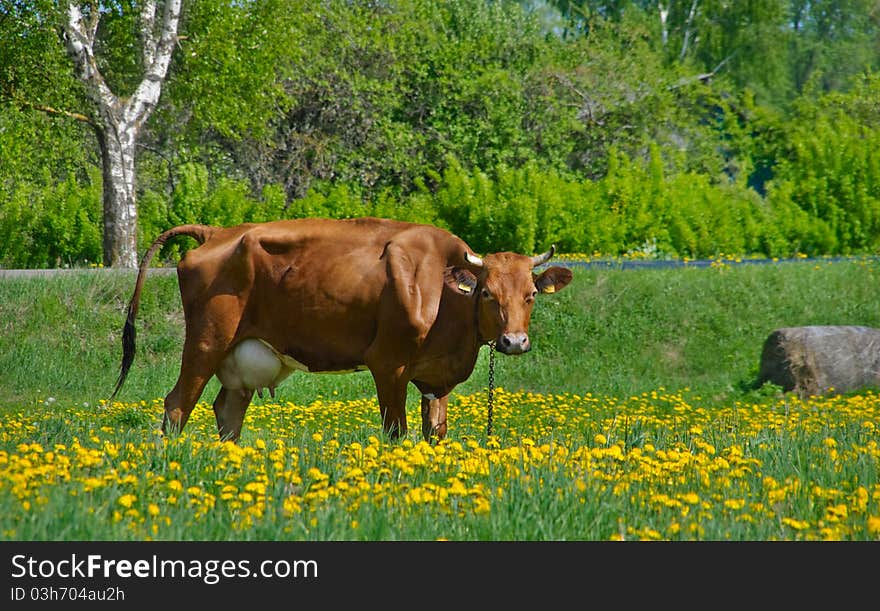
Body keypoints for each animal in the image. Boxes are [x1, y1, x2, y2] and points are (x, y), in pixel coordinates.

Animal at [110, 218, 576, 442]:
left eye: (531, 294)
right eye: (488, 294)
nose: (513, 342)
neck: (441, 290)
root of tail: (218, 232)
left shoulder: (435, 377)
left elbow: (435, 431)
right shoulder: (389, 365)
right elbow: (396, 431)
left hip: (239, 357)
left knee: (228, 411)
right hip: (206, 343)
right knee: (177, 405)